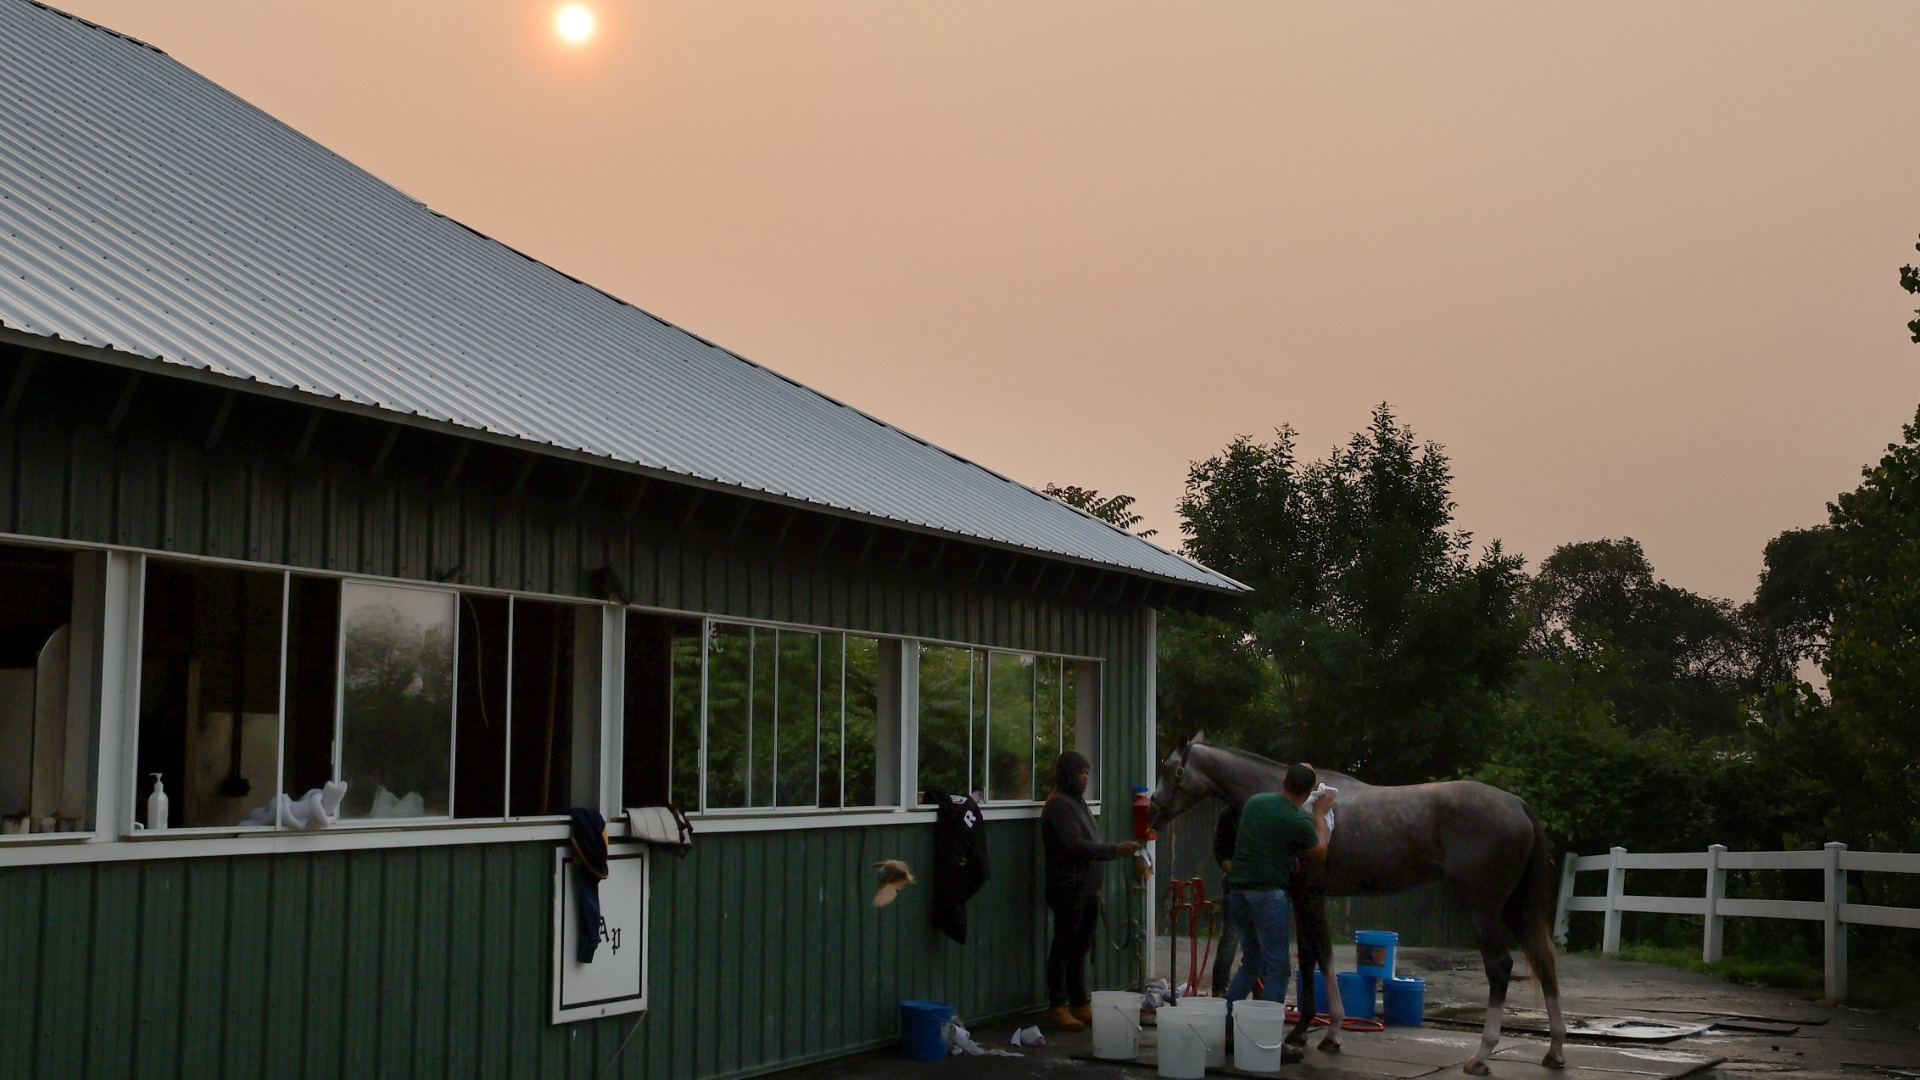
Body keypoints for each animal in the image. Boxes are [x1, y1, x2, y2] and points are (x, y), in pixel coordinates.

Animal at [1144, 730, 1566, 1068]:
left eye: (1169, 768)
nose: (1151, 810)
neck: (1293, 799)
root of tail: (1516, 804)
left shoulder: (1306, 896)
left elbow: (1315, 957)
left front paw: (1310, 1031)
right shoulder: (1311, 897)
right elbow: (1319, 957)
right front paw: (1322, 1032)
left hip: (1485, 908)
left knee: (1500, 967)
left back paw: (1481, 1055)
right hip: (1516, 907)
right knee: (1545, 961)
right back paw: (1555, 1051)